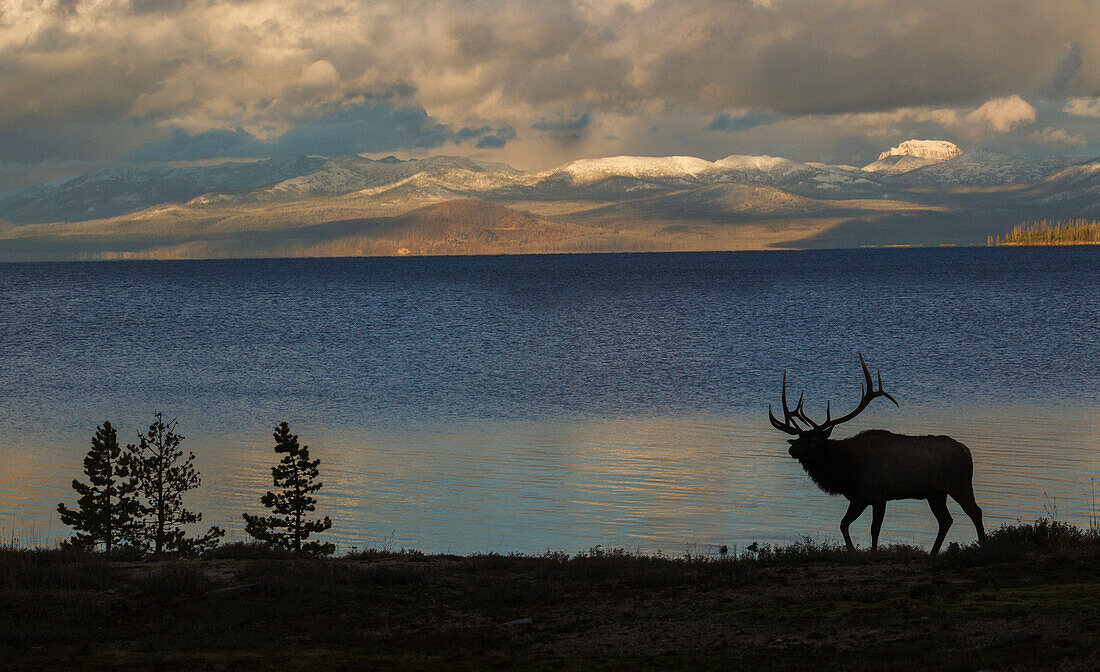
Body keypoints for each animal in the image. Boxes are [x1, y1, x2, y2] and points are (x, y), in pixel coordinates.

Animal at [770, 354, 985, 554]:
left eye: (814, 441)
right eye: (798, 439)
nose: (792, 449)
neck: (848, 470)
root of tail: (967, 451)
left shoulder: (880, 495)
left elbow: (874, 529)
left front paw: (873, 553)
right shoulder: (858, 498)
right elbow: (843, 524)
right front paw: (853, 551)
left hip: (960, 484)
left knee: (976, 512)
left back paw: (983, 546)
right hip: (936, 493)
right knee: (946, 520)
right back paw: (933, 552)